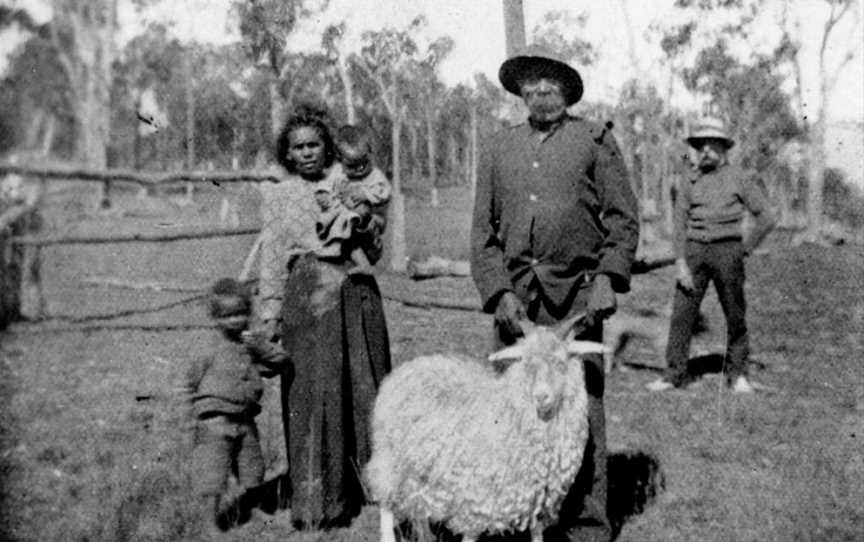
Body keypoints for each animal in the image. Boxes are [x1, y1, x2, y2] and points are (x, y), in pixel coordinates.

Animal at [364, 316, 608, 542]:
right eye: (527, 364)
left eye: (560, 363)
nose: (541, 396)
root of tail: (411, 365)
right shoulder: (477, 498)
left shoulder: (537, 496)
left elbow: (537, 533)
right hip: (390, 456)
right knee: (386, 499)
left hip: (422, 467)